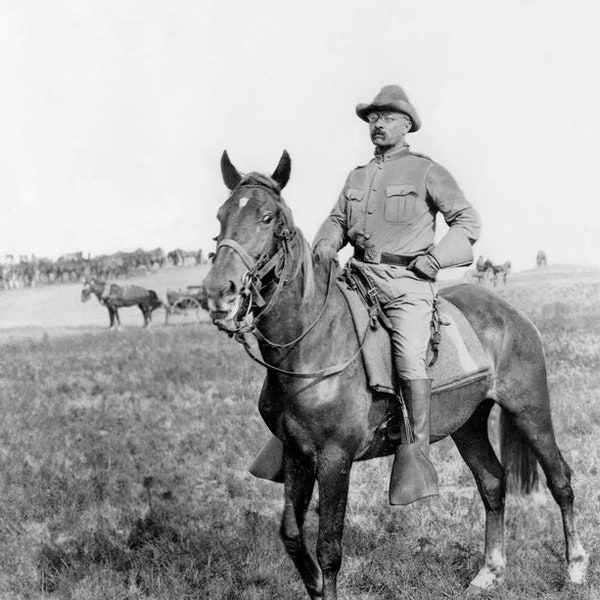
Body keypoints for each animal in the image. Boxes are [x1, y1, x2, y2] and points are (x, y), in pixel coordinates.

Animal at [200, 151, 584, 600]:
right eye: (221, 215)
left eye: (266, 218)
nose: (217, 291)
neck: (312, 345)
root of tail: (511, 313)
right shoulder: (296, 454)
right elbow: (292, 536)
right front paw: (313, 583)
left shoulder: (335, 459)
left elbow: (328, 546)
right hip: (468, 424)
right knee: (492, 483)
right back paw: (490, 571)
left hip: (530, 409)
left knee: (560, 479)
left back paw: (575, 567)